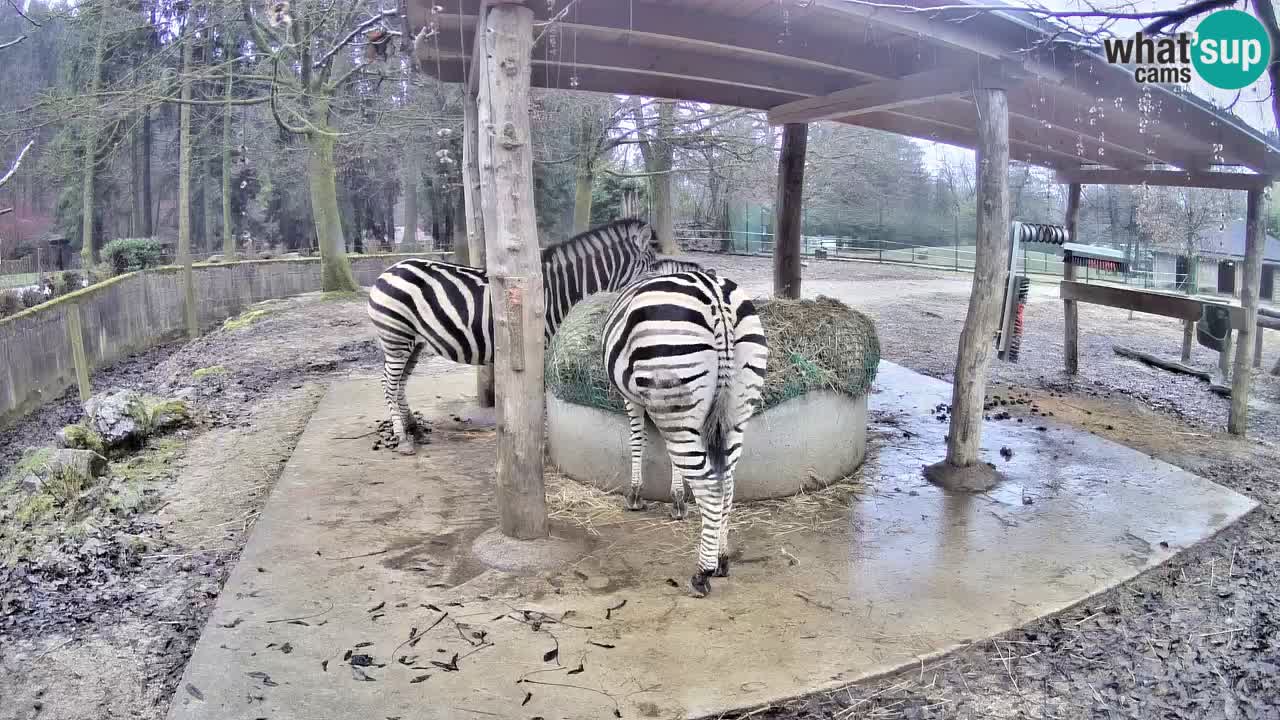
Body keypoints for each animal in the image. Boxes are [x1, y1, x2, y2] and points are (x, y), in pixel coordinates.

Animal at [368, 215, 686, 450]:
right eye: (653, 267)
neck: (562, 290)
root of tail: (387, 271)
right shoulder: (541, 345)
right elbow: (540, 396)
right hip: (396, 338)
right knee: (388, 384)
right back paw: (403, 438)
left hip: (414, 342)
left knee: (400, 385)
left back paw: (414, 429)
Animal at [601, 269, 768, 594]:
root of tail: (717, 298)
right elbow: (673, 459)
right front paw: (678, 500)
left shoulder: (634, 399)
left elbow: (637, 439)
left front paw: (635, 494)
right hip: (734, 410)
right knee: (727, 484)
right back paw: (722, 559)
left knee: (711, 486)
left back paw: (702, 573)